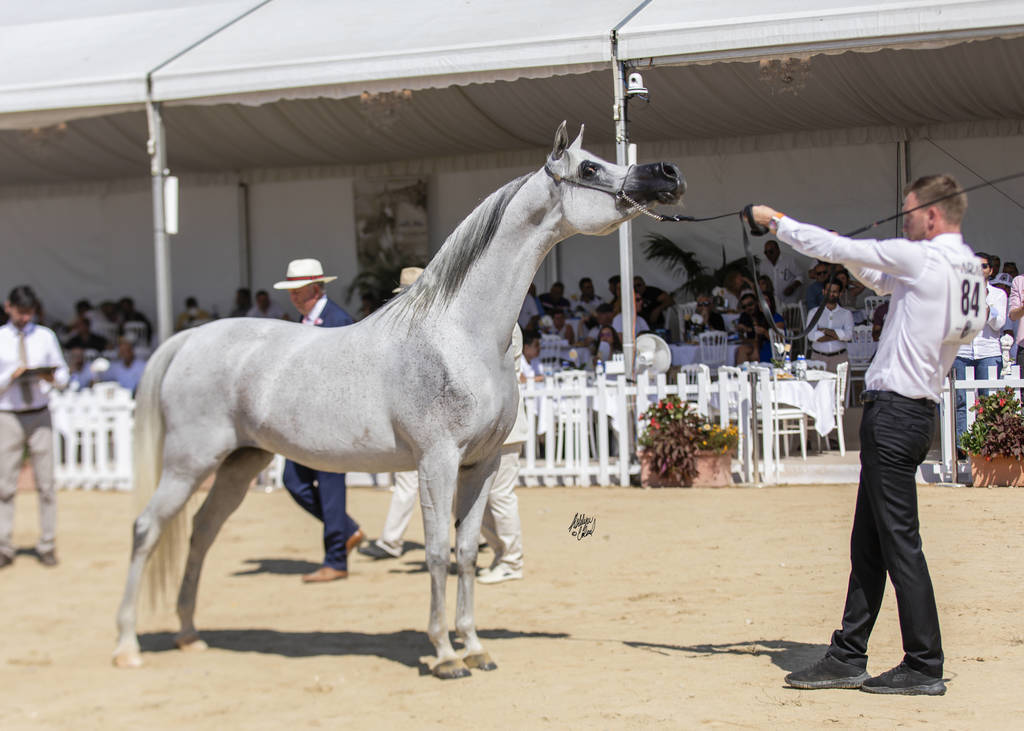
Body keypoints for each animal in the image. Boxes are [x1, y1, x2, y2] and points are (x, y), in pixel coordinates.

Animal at [112, 122, 684, 678]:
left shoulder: (481, 464)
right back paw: (127, 646)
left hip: (238, 464)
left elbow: (467, 552)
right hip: (189, 463)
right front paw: (445, 655)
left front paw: (475, 647)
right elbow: (436, 553)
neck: (459, 334)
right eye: (589, 168)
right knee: (144, 529)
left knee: (200, 533)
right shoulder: (437, 461)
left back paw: (190, 634)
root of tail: (190, 339)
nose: (668, 173)